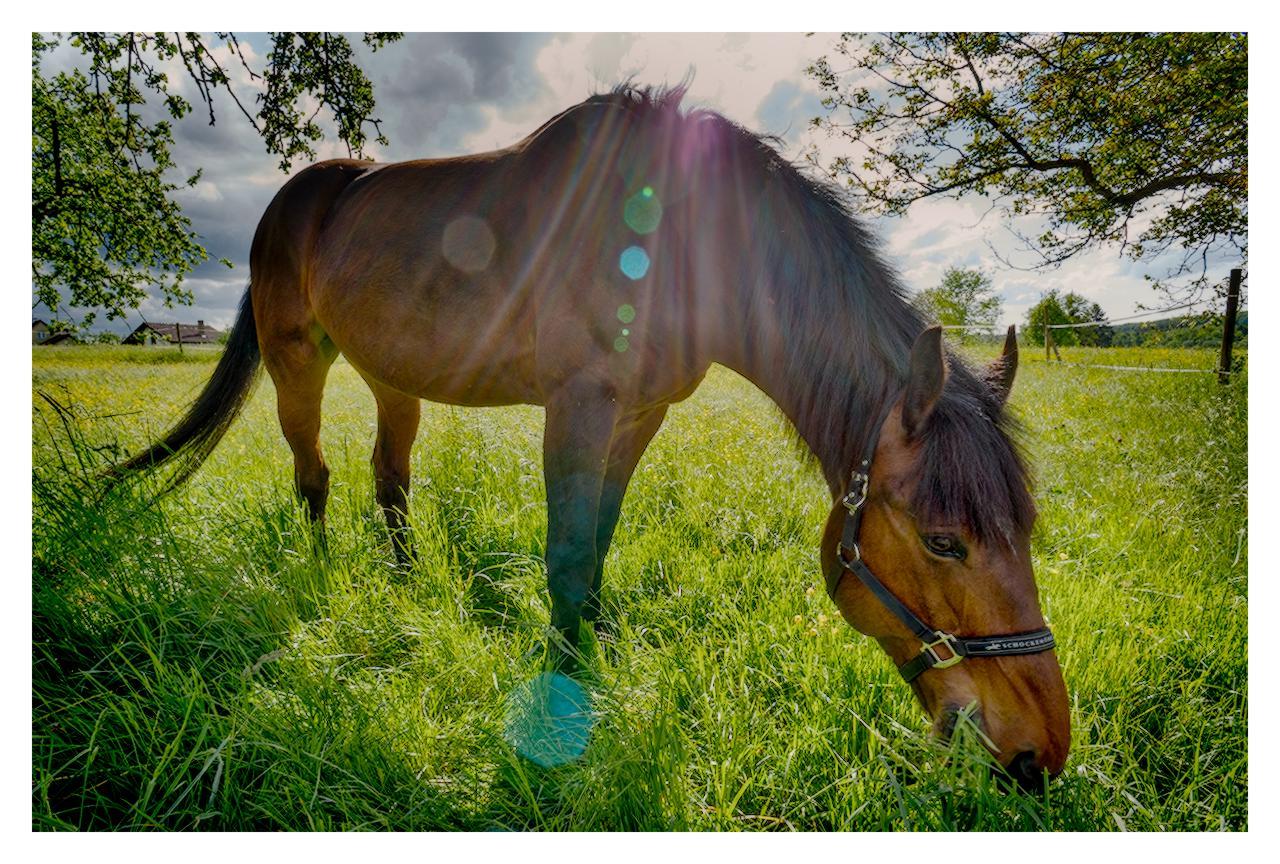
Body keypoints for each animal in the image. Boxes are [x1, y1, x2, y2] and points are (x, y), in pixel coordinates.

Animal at [115, 84, 1070, 788]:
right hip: (297, 362)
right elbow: (569, 553)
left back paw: (405, 583)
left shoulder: (639, 414)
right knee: (312, 476)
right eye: (943, 541)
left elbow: (600, 539)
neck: (682, 240)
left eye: (1025, 528)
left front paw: (598, 647)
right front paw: (567, 690)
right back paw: (320, 577)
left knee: (389, 476)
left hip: (393, 381)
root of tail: (300, 196)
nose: (1041, 752)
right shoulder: (579, 404)